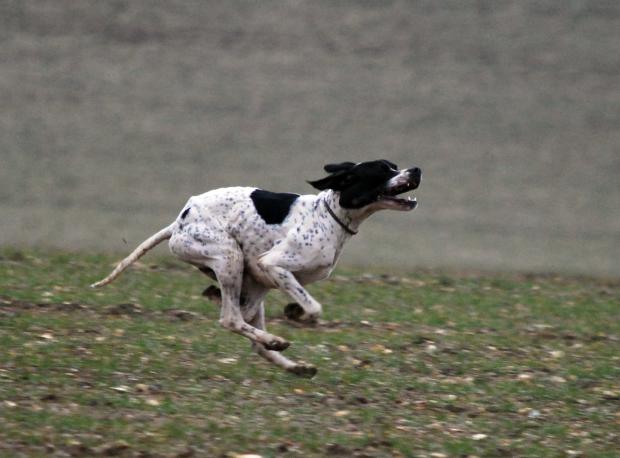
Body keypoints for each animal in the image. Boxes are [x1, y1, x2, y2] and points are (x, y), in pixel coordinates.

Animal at [91, 159, 422, 378]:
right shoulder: (272, 265)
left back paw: (295, 365)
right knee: (231, 319)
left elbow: (300, 301)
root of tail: (179, 222)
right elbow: (314, 306)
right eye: (383, 170)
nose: (416, 170)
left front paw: (293, 313)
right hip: (230, 258)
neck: (330, 215)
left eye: (396, 166)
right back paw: (275, 339)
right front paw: (299, 314)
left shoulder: (269, 276)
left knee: (250, 331)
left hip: (252, 281)